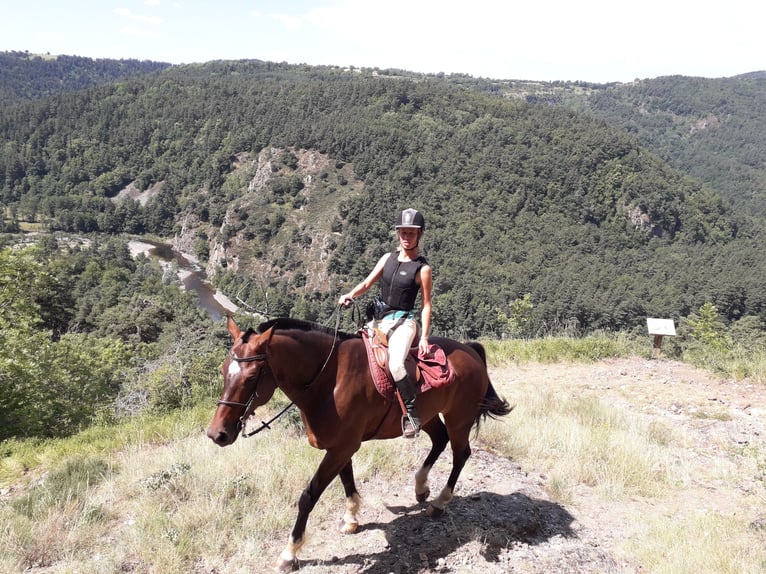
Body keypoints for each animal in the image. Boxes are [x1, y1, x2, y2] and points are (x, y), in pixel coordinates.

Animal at [207, 318, 512, 572]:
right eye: (222, 371)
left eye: (251, 377)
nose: (217, 434)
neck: (328, 378)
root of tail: (470, 350)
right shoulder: (342, 446)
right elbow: (347, 479)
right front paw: (352, 518)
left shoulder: (341, 447)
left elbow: (309, 496)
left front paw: (289, 553)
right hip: (426, 416)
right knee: (439, 440)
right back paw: (421, 487)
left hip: (459, 418)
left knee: (461, 453)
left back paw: (439, 502)